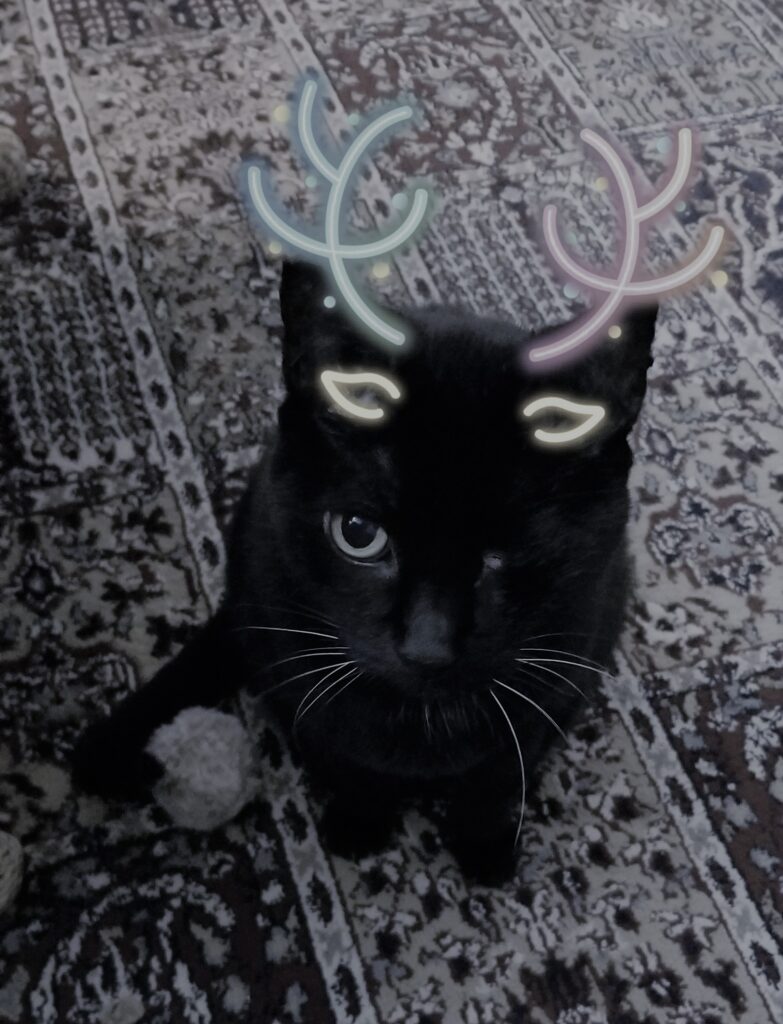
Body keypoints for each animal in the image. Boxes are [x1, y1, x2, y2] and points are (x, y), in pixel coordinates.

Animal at [71, 260, 655, 884]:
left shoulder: (554, 678)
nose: (427, 645)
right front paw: (360, 824)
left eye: (512, 548)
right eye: (358, 533)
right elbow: (348, 760)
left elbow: (498, 775)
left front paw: (483, 846)